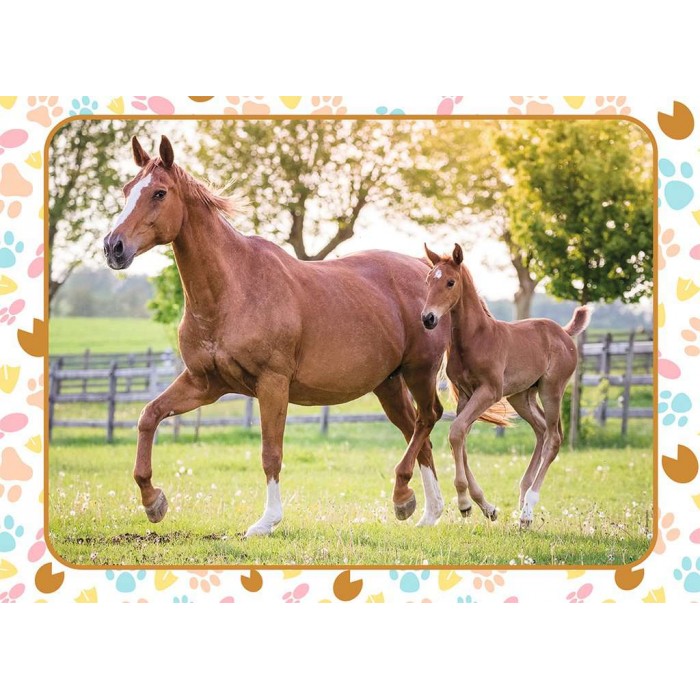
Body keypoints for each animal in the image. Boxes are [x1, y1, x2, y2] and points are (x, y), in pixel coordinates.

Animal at [102, 135, 509, 537]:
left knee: (429, 419)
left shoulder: (272, 383)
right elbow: (149, 416)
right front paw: (153, 501)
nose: (113, 247)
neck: (234, 288)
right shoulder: (205, 384)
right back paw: (427, 509)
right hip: (389, 385)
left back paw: (408, 496)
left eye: (159, 193)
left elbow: (271, 453)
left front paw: (266, 522)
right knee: (417, 430)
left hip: (418, 372)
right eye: (126, 190)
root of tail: (428, 273)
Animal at [421, 243, 591, 528]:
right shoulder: (465, 394)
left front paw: (465, 503)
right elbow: (460, 437)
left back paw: (527, 511)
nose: (428, 318)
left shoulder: (489, 391)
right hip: (521, 396)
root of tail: (564, 333)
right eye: (427, 281)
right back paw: (523, 500)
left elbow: (456, 432)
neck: (476, 338)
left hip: (551, 390)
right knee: (541, 431)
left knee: (554, 438)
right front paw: (484, 506)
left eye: (450, 282)